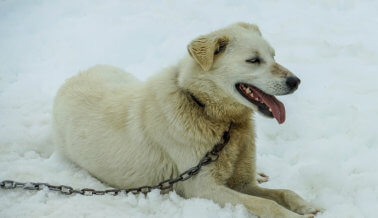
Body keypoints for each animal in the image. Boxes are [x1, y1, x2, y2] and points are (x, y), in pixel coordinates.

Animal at [52, 22, 318, 218]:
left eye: (273, 56)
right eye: (253, 60)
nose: (295, 81)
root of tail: (72, 79)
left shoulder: (243, 183)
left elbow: (284, 192)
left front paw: (305, 205)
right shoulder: (202, 187)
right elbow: (267, 204)